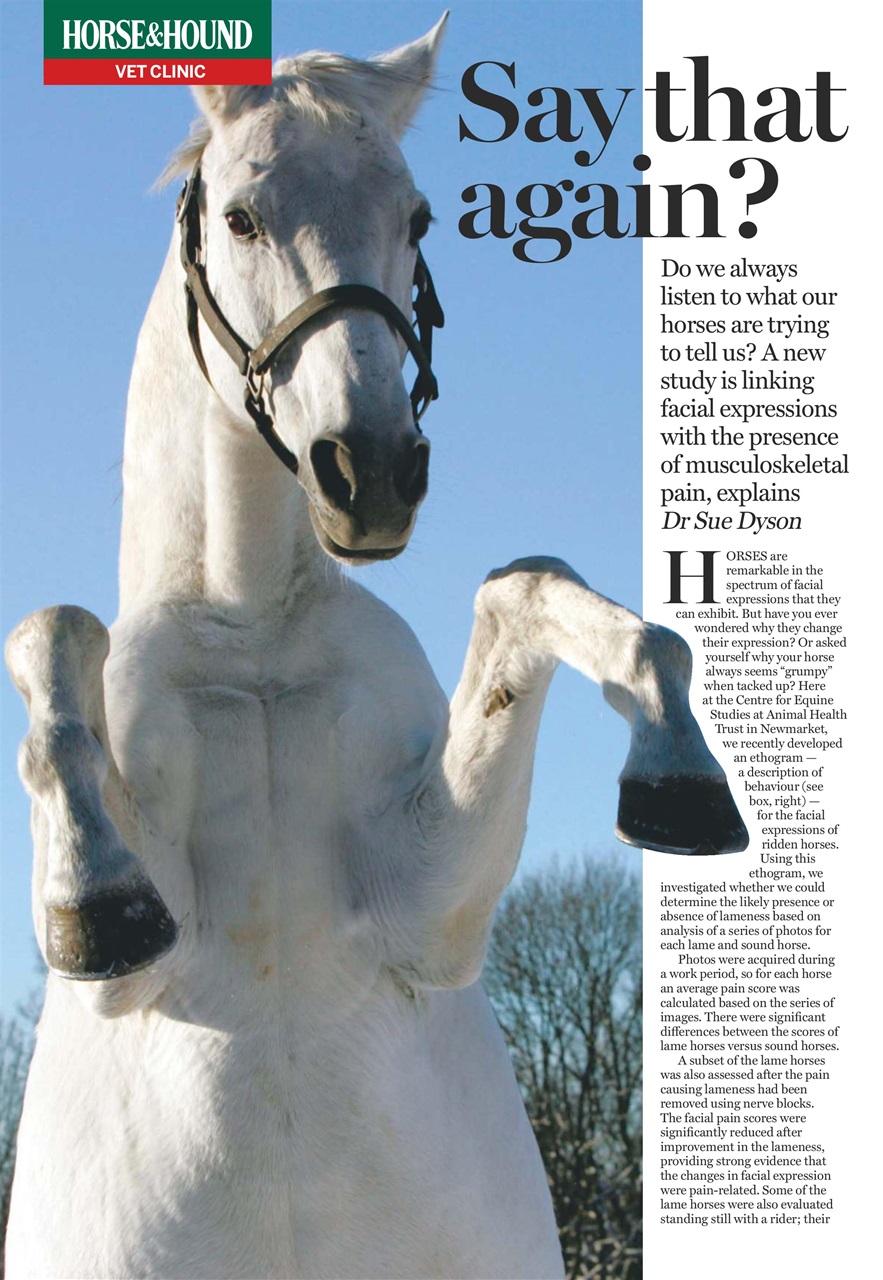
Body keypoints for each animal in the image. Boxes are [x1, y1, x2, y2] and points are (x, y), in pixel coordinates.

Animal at [5, 16, 747, 1279]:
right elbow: (54, 633)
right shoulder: (136, 979)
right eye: (242, 217)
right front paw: (93, 897)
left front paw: (677, 777)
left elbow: (532, 595)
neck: (252, 626)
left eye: (417, 218)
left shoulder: (428, 913)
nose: (372, 470)